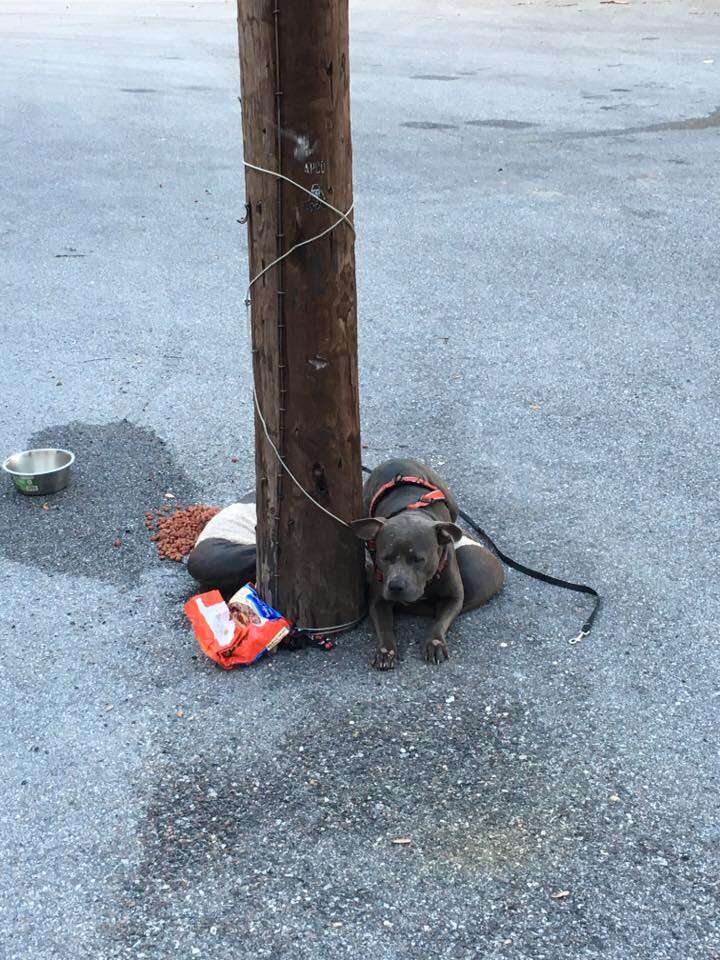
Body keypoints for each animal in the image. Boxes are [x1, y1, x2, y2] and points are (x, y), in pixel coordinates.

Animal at [352, 458, 504, 668]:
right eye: (385, 557)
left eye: (418, 559)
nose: (396, 586)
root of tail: (395, 459)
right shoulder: (378, 600)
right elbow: (384, 627)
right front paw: (385, 650)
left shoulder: (454, 597)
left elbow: (439, 622)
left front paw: (435, 642)